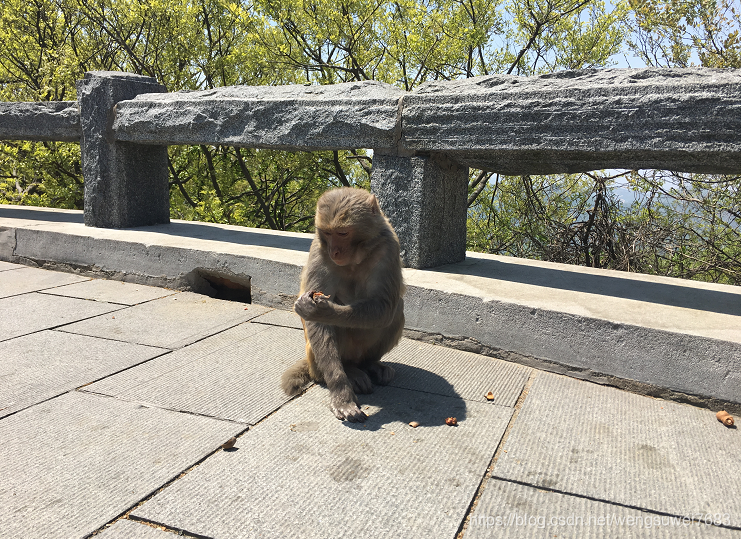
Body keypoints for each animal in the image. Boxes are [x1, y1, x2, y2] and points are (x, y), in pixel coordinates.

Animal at [280, 188, 404, 424]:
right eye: (328, 234)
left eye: (343, 233)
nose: (335, 251)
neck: (356, 257)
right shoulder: (319, 251)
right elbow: (318, 324)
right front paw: (342, 395)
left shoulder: (389, 246)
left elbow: (384, 306)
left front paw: (323, 310)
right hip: (315, 360)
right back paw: (349, 372)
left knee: (396, 313)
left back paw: (369, 365)